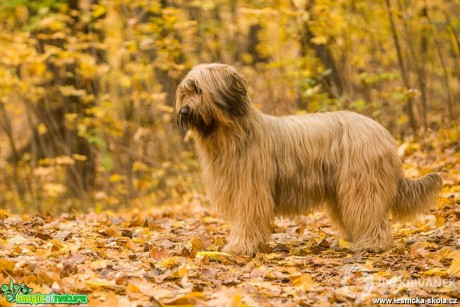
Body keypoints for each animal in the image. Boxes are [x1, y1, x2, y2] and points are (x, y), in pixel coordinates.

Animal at [175, 62, 442, 255]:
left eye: (199, 90)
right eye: (184, 93)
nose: (184, 112)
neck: (233, 133)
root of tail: (383, 133)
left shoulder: (250, 192)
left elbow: (247, 220)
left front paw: (239, 247)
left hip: (362, 184)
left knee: (370, 214)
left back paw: (370, 244)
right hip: (343, 190)